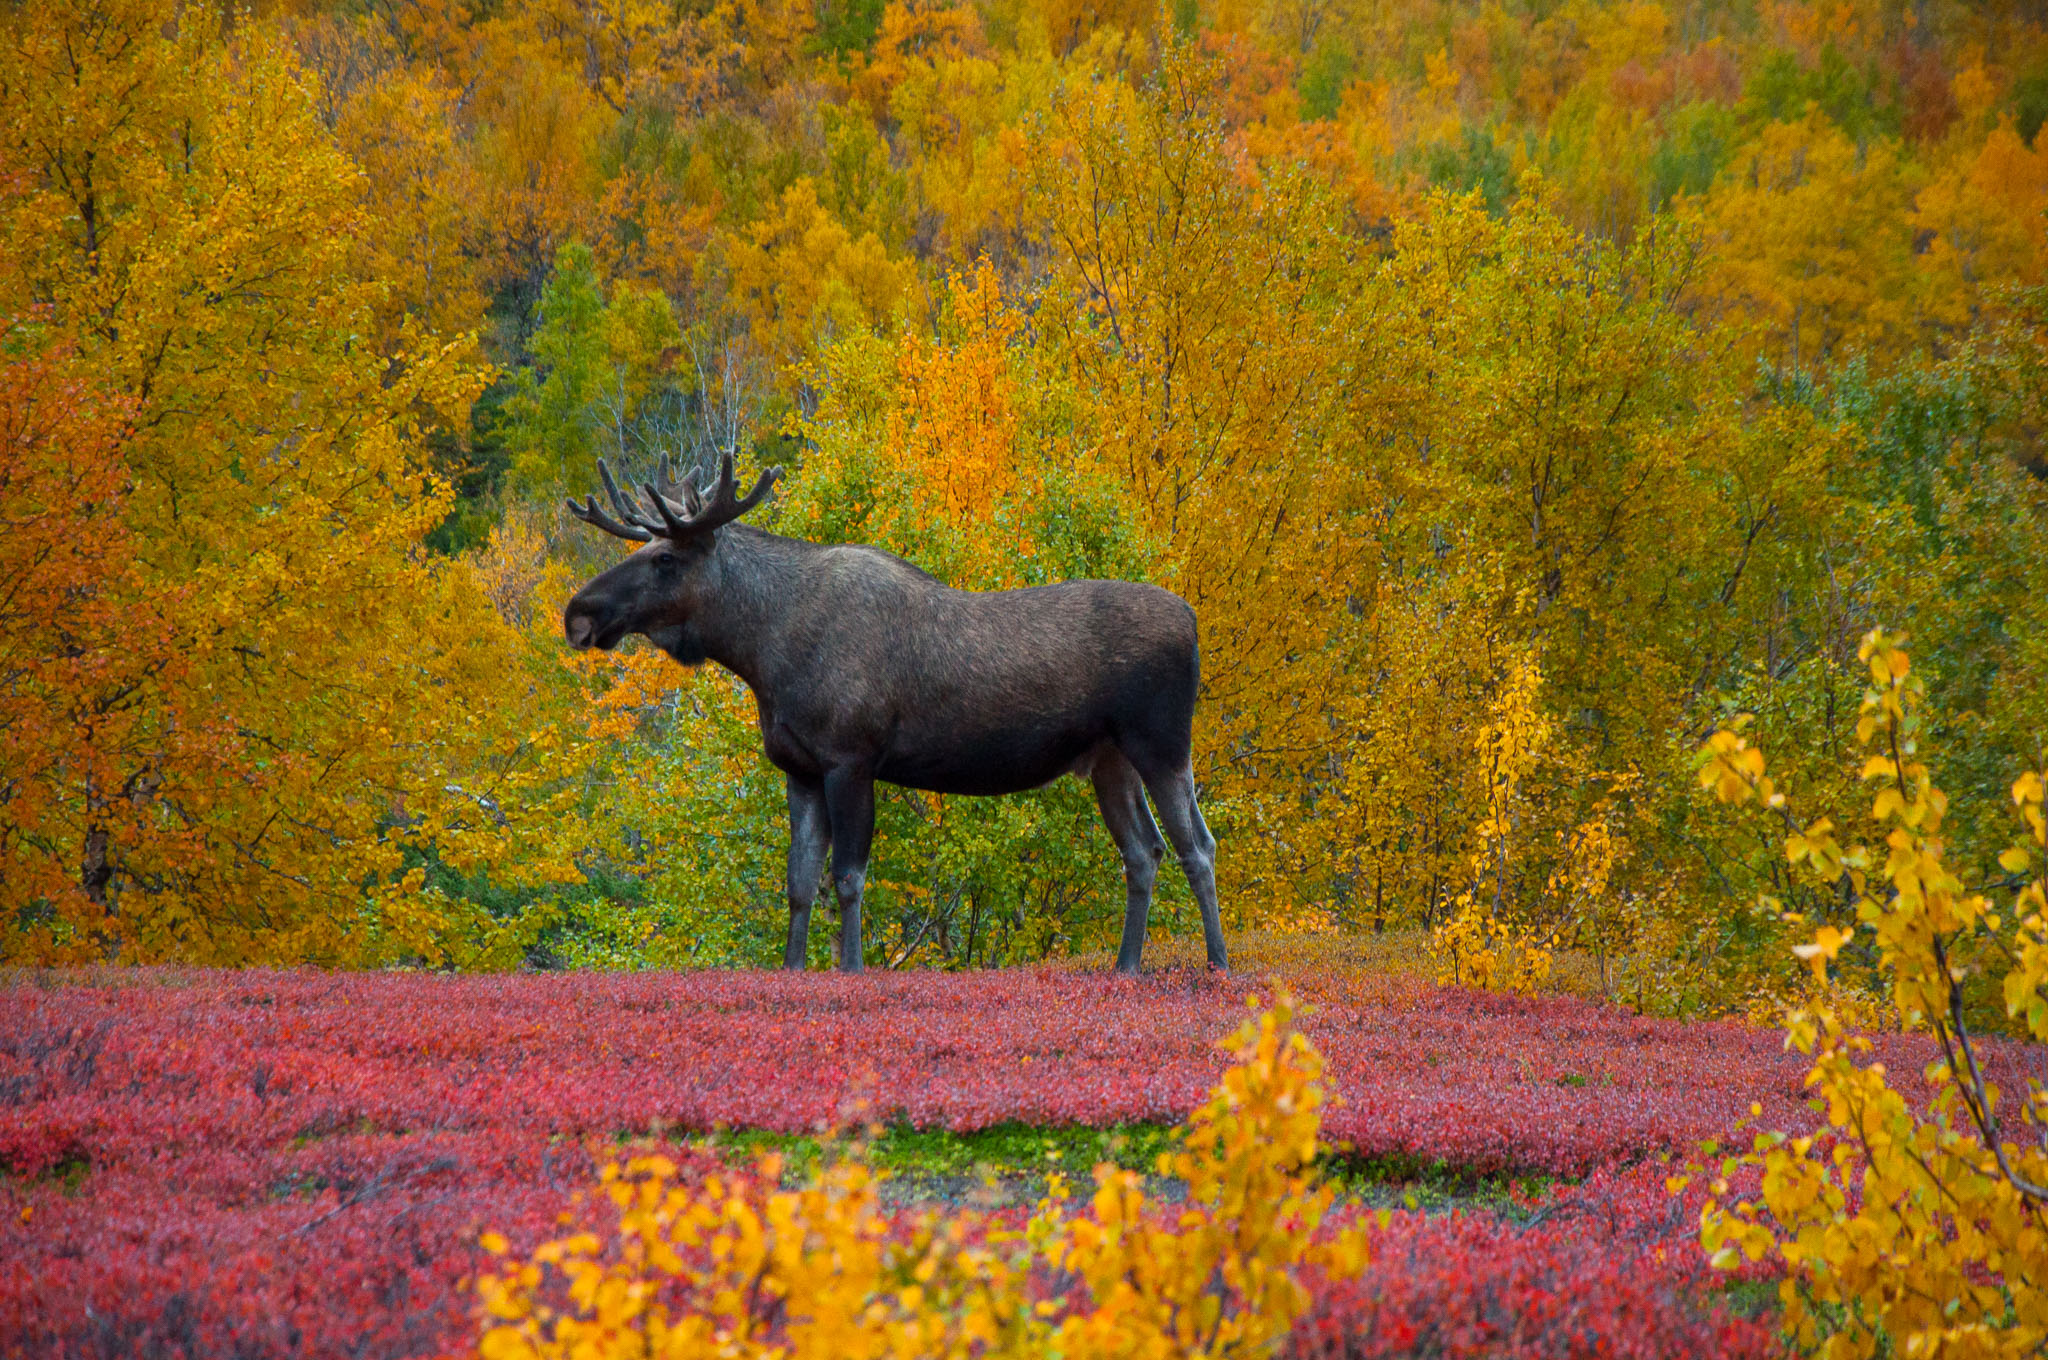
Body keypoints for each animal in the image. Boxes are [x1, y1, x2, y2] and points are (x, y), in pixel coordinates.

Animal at [561, 456, 1220, 979]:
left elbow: (849, 877)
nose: (579, 613)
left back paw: (1217, 963)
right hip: (1109, 759)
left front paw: (851, 969)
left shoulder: (851, 758)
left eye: (666, 558)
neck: (764, 654)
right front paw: (793, 969)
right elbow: (799, 880)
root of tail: (1192, 620)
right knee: (1144, 851)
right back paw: (1127, 966)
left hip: (1161, 743)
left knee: (1197, 845)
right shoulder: (799, 768)